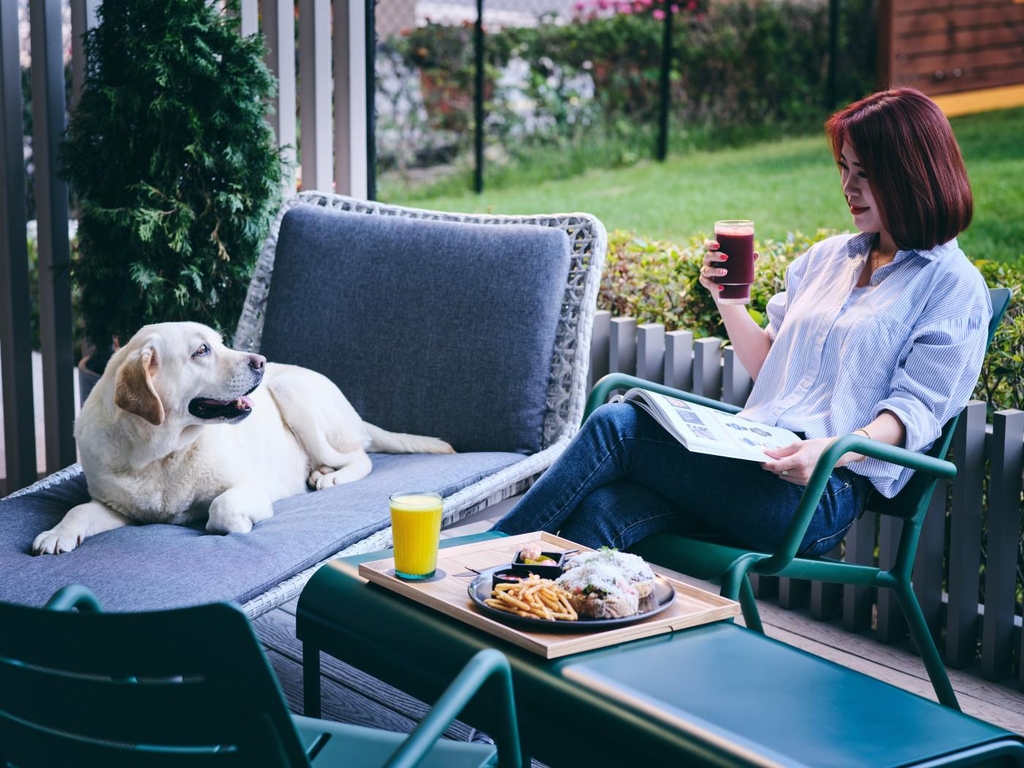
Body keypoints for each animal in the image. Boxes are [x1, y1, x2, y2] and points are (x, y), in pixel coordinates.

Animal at [32, 321, 452, 557]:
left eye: (220, 342)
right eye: (201, 350)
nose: (260, 361)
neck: (158, 455)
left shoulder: (249, 488)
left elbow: (223, 507)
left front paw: (230, 524)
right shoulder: (118, 509)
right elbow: (79, 510)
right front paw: (56, 534)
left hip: (292, 392)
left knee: (359, 457)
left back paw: (330, 476)